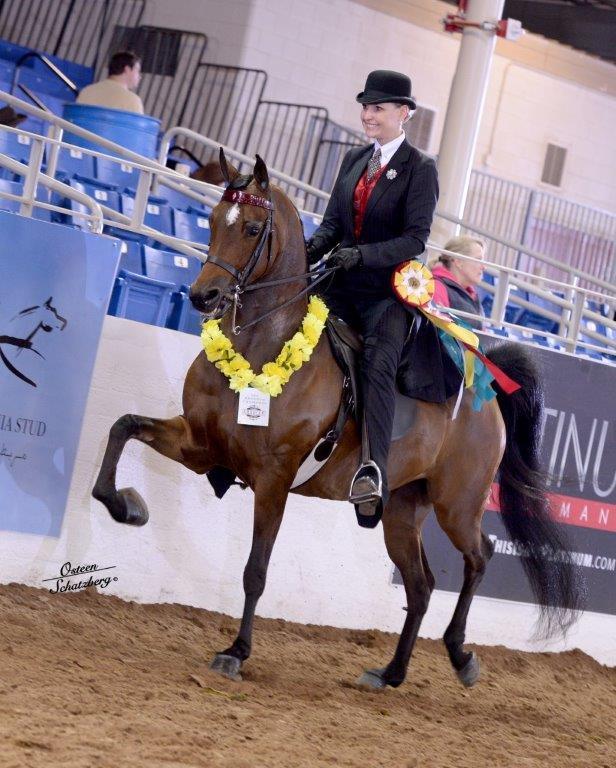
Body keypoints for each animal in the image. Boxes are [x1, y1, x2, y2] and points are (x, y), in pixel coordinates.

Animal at [93, 151, 582, 690]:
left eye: (252, 228)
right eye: (214, 221)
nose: (204, 296)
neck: (260, 344)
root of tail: (487, 390)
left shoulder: (274, 478)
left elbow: (255, 570)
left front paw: (236, 652)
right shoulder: (198, 444)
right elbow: (122, 426)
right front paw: (125, 505)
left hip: (458, 503)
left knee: (480, 556)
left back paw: (461, 655)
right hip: (402, 508)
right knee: (422, 585)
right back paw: (391, 673)